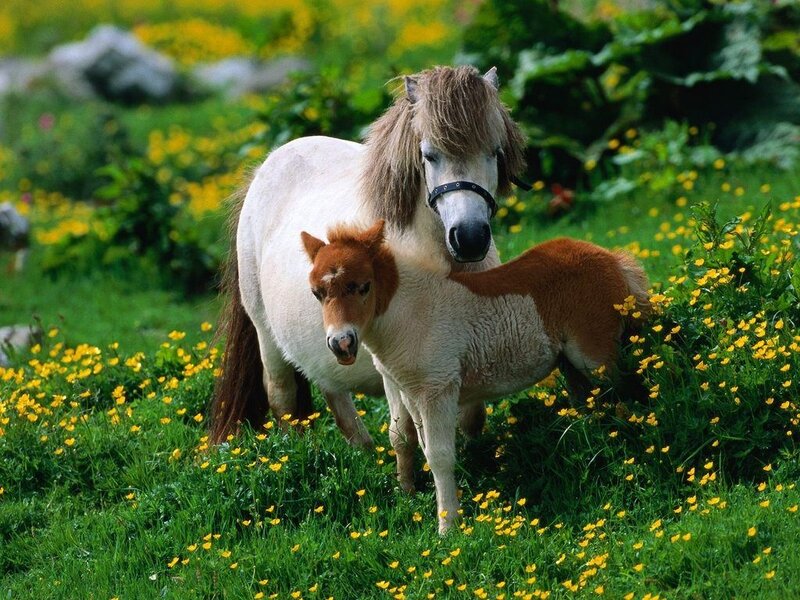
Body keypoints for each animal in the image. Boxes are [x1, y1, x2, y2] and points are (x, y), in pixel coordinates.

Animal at [209, 66, 527, 446]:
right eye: (429, 155)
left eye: (494, 152)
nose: (469, 237)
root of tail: (263, 170)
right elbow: (408, 430)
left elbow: (471, 418)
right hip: (266, 334)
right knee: (282, 395)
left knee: (332, 389)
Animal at [301, 220, 650, 533]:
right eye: (317, 293)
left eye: (363, 286)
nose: (341, 344)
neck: (411, 313)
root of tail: (611, 258)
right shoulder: (411, 393)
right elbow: (415, 444)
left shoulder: (438, 389)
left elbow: (440, 456)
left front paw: (448, 527)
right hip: (570, 363)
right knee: (591, 403)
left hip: (595, 357)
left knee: (630, 392)